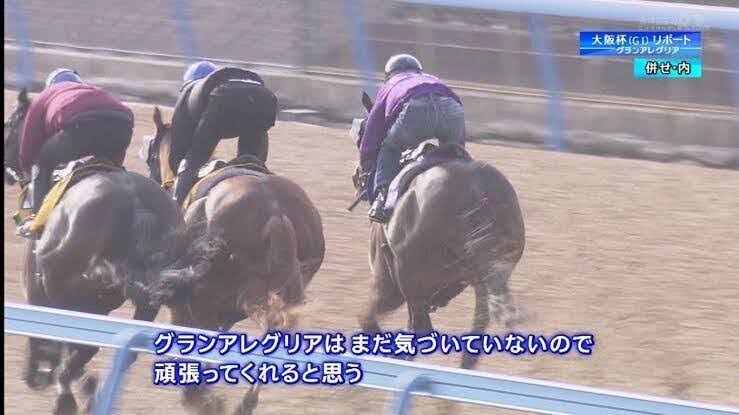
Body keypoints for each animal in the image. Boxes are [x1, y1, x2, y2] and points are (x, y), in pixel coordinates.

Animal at [4, 88, 187, 415]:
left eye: (11, 123)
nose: (7, 169)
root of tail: (135, 202)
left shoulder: (40, 288)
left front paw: (49, 375)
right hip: (143, 299)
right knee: (116, 348)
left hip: (62, 283)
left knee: (75, 340)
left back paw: (64, 388)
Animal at [349, 91, 526, 372]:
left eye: (363, 132)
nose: (357, 176)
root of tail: (475, 192)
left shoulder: (388, 285)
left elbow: (368, 319)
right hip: (487, 278)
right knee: (474, 336)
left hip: (410, 276)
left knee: (422, 328)